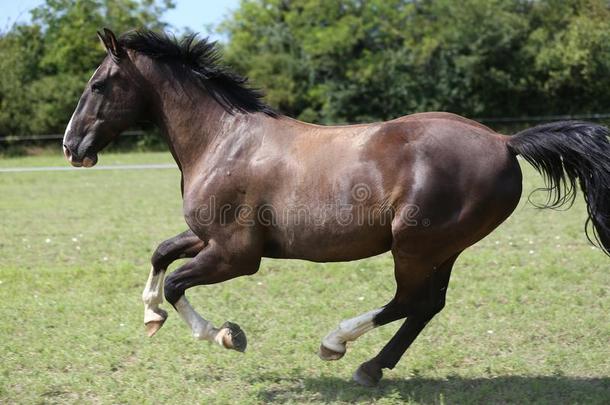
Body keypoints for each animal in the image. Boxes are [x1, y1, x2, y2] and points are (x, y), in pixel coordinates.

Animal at [63, 29, 608, 386]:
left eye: (98, 85)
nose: (71, 147)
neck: (223, 141)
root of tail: (505, 141)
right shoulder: (207, 238)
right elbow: (161, 253)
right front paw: (151, 314)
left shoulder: (237, 256)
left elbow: (178, 281)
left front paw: (225, 336)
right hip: (442, 249)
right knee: (428, 305)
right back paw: (369, 368)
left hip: (415, 246)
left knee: (410, 301)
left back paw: (337, 345)